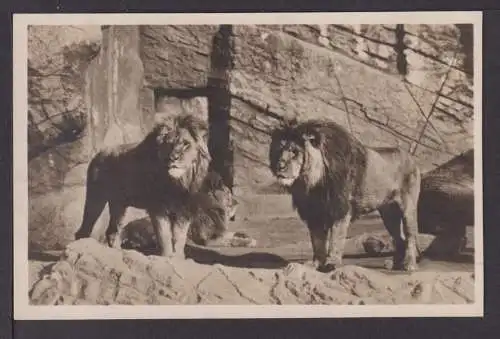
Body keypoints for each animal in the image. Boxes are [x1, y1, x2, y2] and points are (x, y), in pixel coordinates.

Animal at [75, 113, 256, 258]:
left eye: (185, 144)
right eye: (168, 144)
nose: (173, 158)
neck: (178, 182)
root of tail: (99, 153)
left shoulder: (185, 210)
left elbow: (179, 238)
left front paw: (179, 258)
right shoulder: (159, 208)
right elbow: (165, 236)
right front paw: (167, 257)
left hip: (119, 204)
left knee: (112, 231)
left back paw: (119, 253)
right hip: (96, 198)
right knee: (84, 229)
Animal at [270, 119, 422, 274]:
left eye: (294, 151)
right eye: (279, 150)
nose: (279, 166)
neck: (312, 183)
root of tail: (411, 158)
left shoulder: (340, 209)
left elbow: (336, 238)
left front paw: (332, 263)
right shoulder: (314, 213)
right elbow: (317, 241)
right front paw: (315, 264)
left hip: (408, 207)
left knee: (410, 236)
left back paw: (409, 265)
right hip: (389, 213)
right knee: (400, 239)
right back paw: (395, 265)